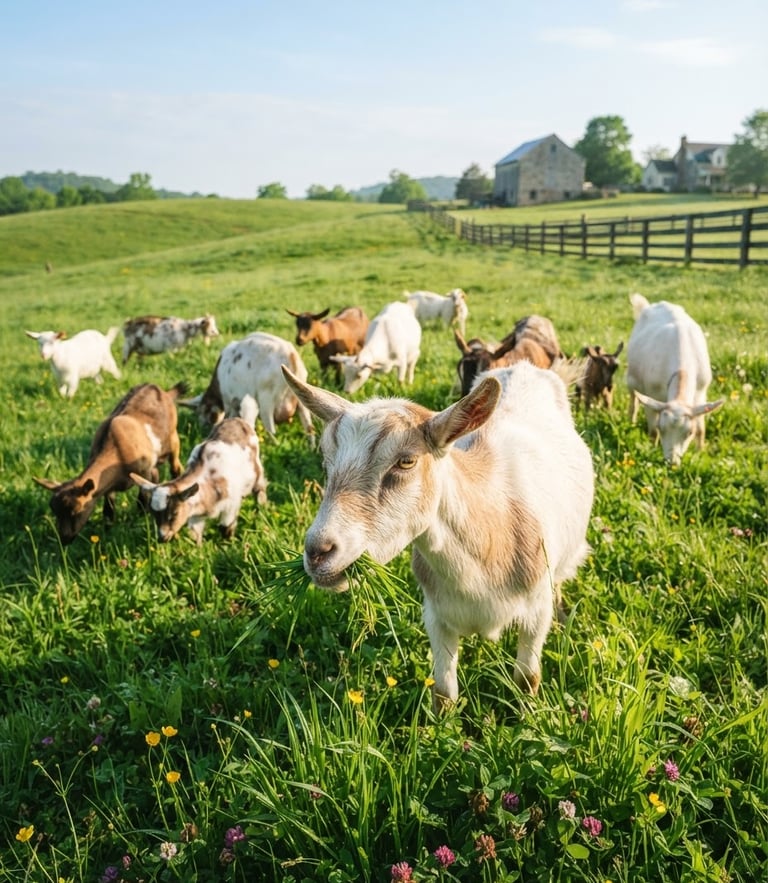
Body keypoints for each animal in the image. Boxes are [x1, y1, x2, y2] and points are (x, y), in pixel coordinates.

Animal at [33, 383, 185, 544]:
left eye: (75, 512)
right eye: (54, 511)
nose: (64, 539)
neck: (116, 451)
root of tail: (161, 390)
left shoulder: (145, 472)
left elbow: (142, 500)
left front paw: (140, 519)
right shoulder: (108, 486)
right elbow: (108, 511)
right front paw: (107, 533)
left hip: (173, 440)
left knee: (175, 467)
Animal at [130, 417, 267, 544]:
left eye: (174, 513)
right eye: (153, 513)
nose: (162, 538)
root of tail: (237, 420)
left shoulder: (231, 504)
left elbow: (226, 527)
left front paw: (227, 545)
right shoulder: (195, 515)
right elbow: (195, 536)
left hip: (257, 470)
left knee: (260, 489)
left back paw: (261, 509)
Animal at [180, 332, 315, 444]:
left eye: (203, 411)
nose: (202, 429)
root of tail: (291, 356)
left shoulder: (229, 400)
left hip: (266, 399)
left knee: (270, 428)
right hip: (302, 395)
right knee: (309, 427)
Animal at [282, 360, 594, 709]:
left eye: (406, 461)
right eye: (326, 461)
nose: (318, 552)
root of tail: (524, 366)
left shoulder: (536, 612)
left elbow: (526, 680)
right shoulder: (435, 615)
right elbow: (443, 692)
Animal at [626, 293, 723, 465]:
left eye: (689, 433)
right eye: (662, 428)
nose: (672, 462)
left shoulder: (700, 393)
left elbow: (701, 429)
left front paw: (700, 452)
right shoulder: (652, 394)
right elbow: (652, 431)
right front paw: (651, 450)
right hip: (631, 379)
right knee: (633, 401)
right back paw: (631, 422)